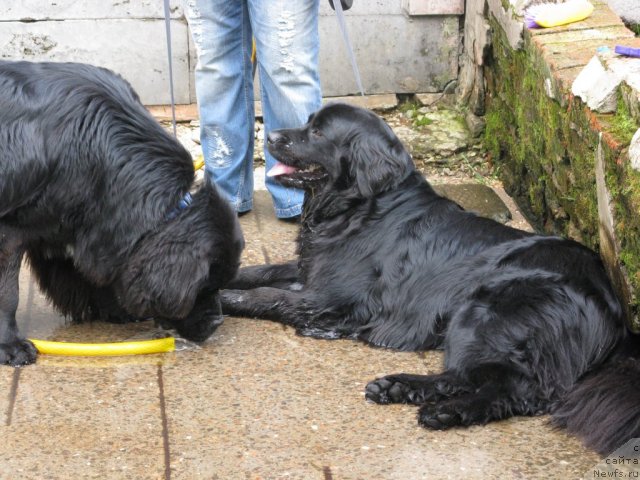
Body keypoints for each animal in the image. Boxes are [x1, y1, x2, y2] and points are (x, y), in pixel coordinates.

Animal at [0, 61, 244, 368]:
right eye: (204, 285)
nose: (217, 322)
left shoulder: (77, 219)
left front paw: (113, 308)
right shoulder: (10, 232)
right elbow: (8, 293)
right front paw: (11, 345)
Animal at [221, 103, 640, 456]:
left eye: (319, 132)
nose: (272, 136)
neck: (362, 206)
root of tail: (617, 317)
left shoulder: (331, 296)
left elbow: (263, 294)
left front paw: (221, 299)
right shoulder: (313, 270)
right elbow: (261, 272)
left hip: (482, 311)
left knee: (515, 388)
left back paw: (444, 411)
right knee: (469, 377)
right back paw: (398, 387)